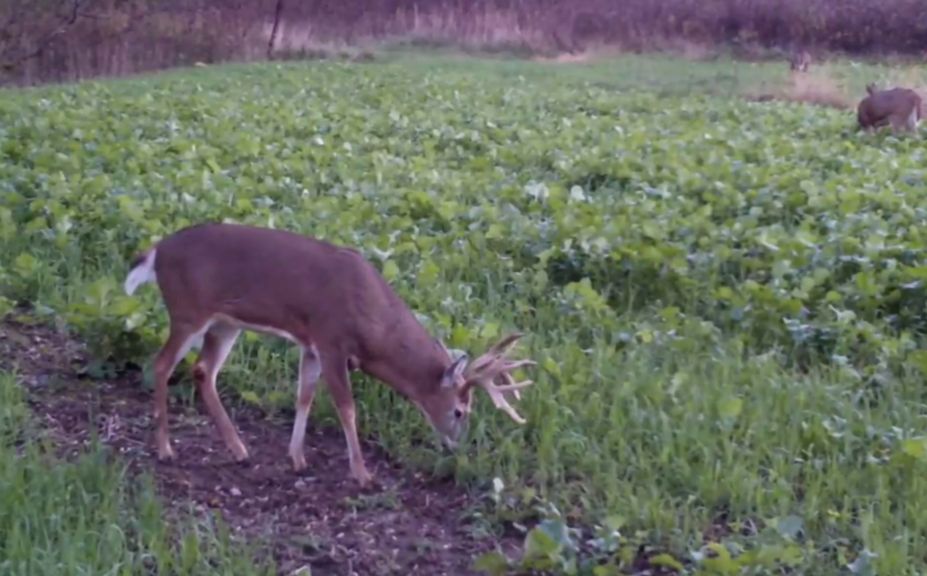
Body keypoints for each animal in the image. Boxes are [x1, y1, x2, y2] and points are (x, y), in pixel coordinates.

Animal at [127, 220, 540, 486]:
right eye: (459, 410)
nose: (458, 445)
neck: (373, 324)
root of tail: (156, 252)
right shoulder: (331, 340)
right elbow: (346, 406)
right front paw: (362, 474)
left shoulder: (311, 344)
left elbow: (304, 396)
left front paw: (297, 458)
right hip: (187, 311)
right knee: (162, 364)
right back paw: (165, 448)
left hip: (225, 323)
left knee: (203, 371)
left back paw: (239, 448)